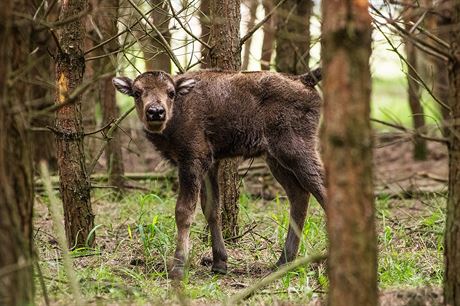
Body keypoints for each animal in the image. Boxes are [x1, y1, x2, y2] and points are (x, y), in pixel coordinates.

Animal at [113, 69, 326, 280]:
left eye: (171, 92)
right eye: (137, 92)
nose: (156, 112)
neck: (179, 110)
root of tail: (304, 79)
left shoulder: (192, 160)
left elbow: (184, 211)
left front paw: (178, 268)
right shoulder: (210, 164)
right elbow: (212, 208)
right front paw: (219, 264)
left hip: (296, 150)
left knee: (321, 189)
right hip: (275, 160)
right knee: (299, 195)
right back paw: (283, 262)